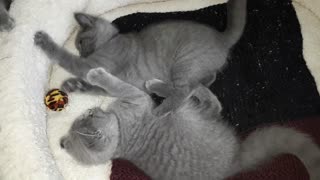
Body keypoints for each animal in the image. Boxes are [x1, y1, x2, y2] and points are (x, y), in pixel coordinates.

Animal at [33, 0, 248, 116]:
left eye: (80, 43)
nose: (82, 53)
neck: (112, 40)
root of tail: (221, 38)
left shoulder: (91, 64)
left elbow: (65, 58)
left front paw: (43, 41)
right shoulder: (104, 83)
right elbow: (93, 87)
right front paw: (73, 85)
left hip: (184, 61)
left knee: (183, 91)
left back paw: (160, 104)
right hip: (189, 70)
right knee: (201, 88)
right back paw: (207, 106)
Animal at [60, 67, 320, 180]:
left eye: (88, 114)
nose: (94, 110)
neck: (121, 140)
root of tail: (234, 163)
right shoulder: (137, 98)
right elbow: (117, 84)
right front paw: (97, 75)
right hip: (193, 115)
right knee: (204, 103)